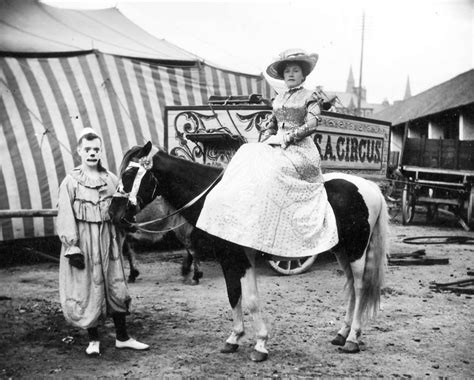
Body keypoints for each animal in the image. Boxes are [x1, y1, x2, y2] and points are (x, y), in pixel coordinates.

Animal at [110, 142, 388, 362]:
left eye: (130, 173)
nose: (114, 214)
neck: (218, 196)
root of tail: (370, 187)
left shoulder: (238, 258)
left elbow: (250, 299)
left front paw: (260, 345)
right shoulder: (233, 258)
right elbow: (236, 295)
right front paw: (235, 339)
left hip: (357, 251)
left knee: (360, 287)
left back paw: (353, 339)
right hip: (342, 252)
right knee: (351, 288)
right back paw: (342, 334)